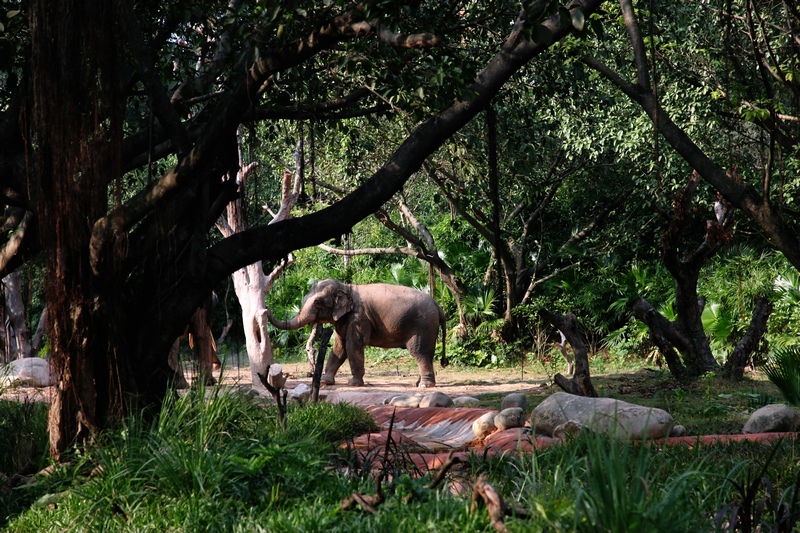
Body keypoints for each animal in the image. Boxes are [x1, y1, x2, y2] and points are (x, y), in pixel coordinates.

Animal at [266, 279, 448, 387]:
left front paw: (353, 383)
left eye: (318, 302)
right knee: (428, 353)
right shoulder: (345, 319)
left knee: (419, 352)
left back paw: (424, 385)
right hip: (428, 328)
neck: (347, 287)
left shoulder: (359, 317)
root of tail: (438, 306)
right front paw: (326, 382)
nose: (266, 308)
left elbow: (353, 345)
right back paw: (419, 383)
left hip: (421, 326)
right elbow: (339, 348)